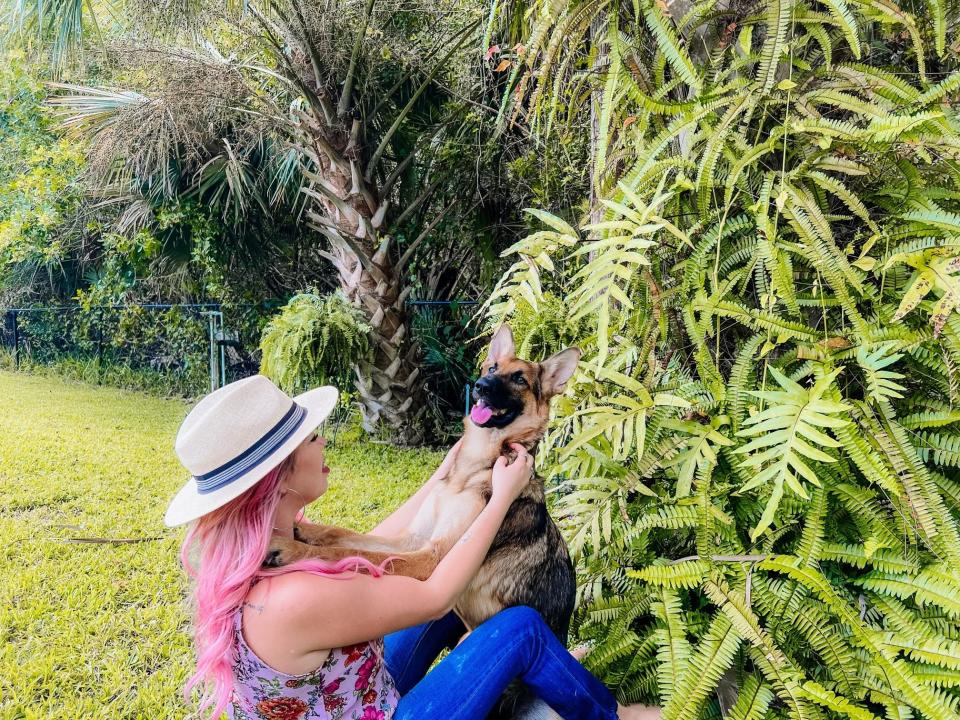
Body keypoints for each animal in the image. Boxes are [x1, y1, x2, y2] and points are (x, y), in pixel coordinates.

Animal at [270, 324, 580, 668]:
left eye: (519, 379)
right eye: (493, 369)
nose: (481, 386)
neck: (471, 470)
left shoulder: (431, 558)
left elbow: (349, 554)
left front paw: (292, 548)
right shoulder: (411, 541)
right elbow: (342, 536)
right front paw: (302, 529)